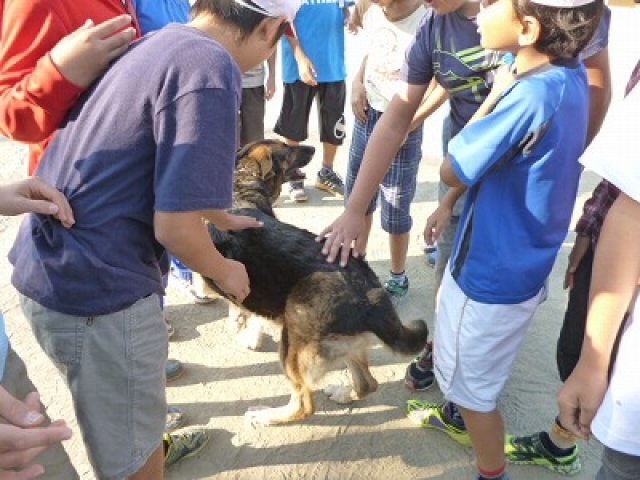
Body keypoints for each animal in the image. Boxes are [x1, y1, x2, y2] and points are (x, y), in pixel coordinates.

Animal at [202, 139, 428, 424]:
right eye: (287, 149)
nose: (310, 148)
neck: (242, 181)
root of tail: (370, 295)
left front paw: (239, 323)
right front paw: (245, 326)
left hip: (292, 346)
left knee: (304, 404)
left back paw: (267, 416)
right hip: (345, 344)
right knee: (367, 384)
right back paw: (342, 394)